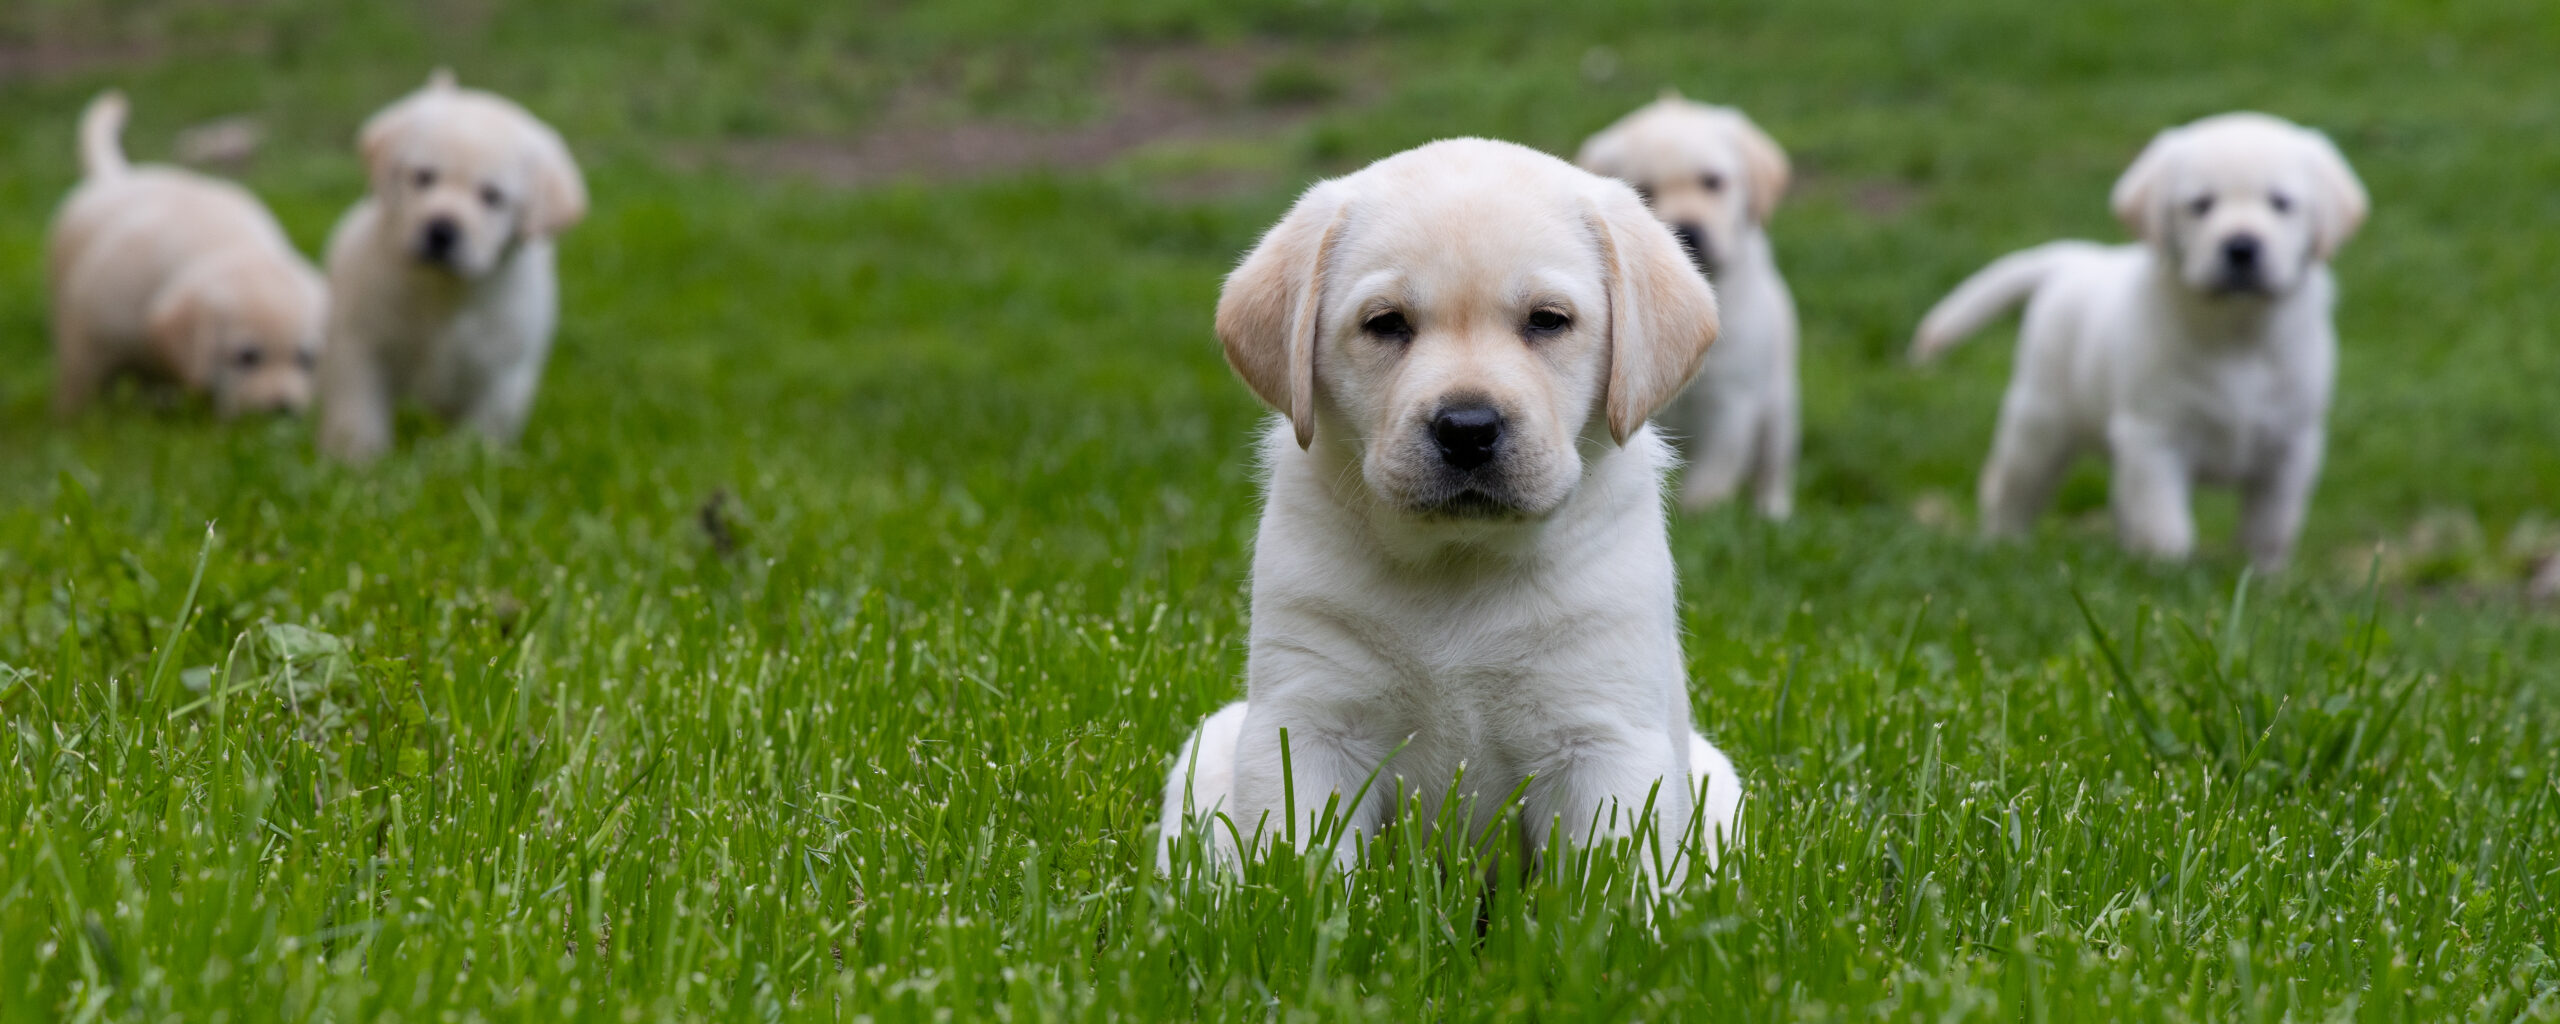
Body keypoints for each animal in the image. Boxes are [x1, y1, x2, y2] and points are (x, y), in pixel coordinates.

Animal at [47, 92, 325, 417]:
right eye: (247, 356)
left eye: (305, 359)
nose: (282, 409)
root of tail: (116, 178)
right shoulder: (88, 337)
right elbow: (79, 388)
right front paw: (71, 420)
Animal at [320, 72, 586, 468]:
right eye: (423, 177)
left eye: (492, 196)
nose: (441, 230)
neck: (446, 292)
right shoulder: (360, 348)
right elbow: (357, 415)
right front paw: (357, 463)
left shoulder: (504, 374)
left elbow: (480, 432)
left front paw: (464, 464)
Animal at [1157, 138, 1740, 896]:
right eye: (1385, 323)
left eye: (1548, 320)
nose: (1467, 427)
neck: (1461, 560)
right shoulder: (1308, 723)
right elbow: (1305, 865)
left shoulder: (1602, 737)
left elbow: (1608, 885)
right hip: (1211, 747)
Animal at [1576, 94, 1802, 519]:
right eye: (1644, 190)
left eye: (1712, 181)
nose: (1688, 230)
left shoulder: (1732, 402)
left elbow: (1709, 482)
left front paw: (1701, 514)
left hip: (1778, 408)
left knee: (1772, 467)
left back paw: (1773, 514)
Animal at [1914, 117, 2365, 576]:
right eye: (2200, 205)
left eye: (2281, 203)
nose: (2241, 246)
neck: (2236, 330)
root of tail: (2076, 259)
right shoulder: (2153, 436)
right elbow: (2164, 522)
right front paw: (2168, 573)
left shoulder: (2292, 445)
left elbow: (2269, 528)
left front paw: (2262, 579)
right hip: (2040, 422)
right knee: (2011, 490)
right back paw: (2002, 549)